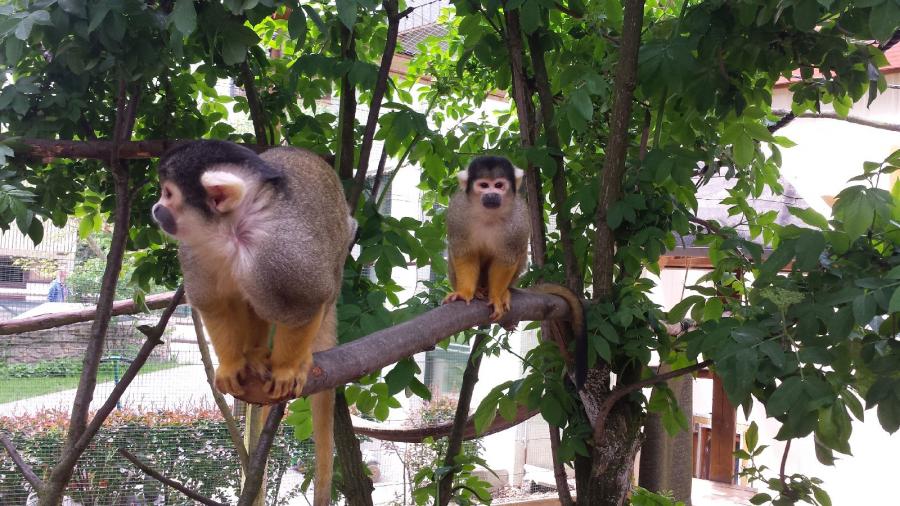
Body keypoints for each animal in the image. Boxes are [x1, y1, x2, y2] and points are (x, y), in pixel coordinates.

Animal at [149, 139, 350, 506]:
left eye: (169, 194)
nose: (157, 208)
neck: (234, 231)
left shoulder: (282, 253)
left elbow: (305, 303)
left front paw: (288, 368)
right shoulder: (195, 248)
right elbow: (214, 304)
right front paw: (232, 365)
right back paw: (255, 354)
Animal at [442, 156, 592, 386]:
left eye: (499, 185)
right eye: (484, 185)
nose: (492, 195)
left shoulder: (520, 218)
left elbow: (507, 258)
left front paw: (496, 296)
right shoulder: (458, 211)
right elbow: (463, 253)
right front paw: (465, 292)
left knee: (520, 252)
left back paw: (502, 291)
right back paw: (479, 290)